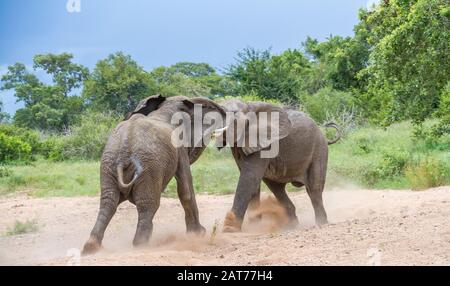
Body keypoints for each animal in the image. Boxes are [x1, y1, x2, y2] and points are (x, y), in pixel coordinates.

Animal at [81, 95, 225, 254]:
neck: (165, 110)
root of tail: (124, 150)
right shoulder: (179, 148)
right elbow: (185, 189)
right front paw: (199, 234)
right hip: (148, 168)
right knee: (148, 204)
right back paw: (142, 245)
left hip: (108, 164)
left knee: (108, 202)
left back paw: (91, 247)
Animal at [213, 98, 340, 232]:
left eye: (233, 113)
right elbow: (252, 182)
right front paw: (254, 226)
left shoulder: (264, 144)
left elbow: (249, 177)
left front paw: (229, 229)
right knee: (277, 188)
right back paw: (291, 225)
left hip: (319, 149)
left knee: (314, 188)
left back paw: (321, 224)